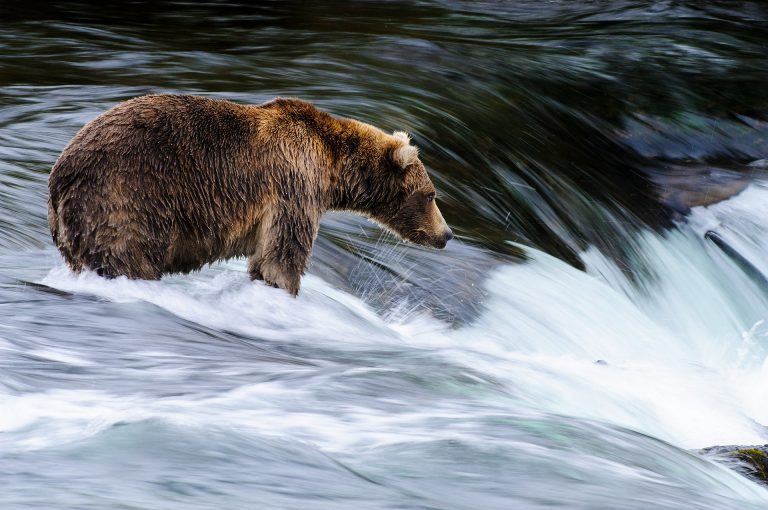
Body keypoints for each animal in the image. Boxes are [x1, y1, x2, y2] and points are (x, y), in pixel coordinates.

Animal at [48, 93, 452, 296]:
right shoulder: (294, 185)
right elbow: (282, 256)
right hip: (126, 198)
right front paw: (284, 288)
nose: (447, 234)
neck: (332, 167)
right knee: (129, 256)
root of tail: (59, 178)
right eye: (431, 195)